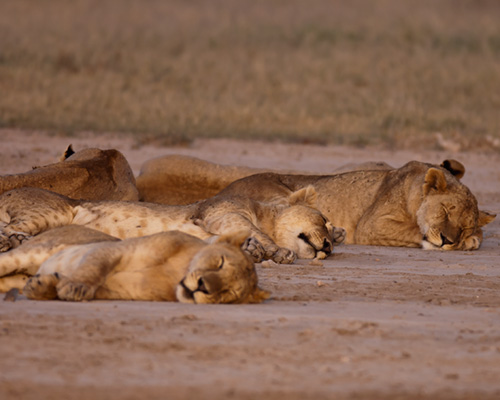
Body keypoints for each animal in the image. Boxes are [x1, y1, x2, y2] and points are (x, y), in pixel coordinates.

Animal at [18, 228, 270, 304]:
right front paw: (75, 287)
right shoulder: (115, 249)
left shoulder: (115, 291)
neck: (175, 274)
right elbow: (94, 268)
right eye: (220, 263)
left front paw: (42, 286)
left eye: (228, 292)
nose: (202, 287)